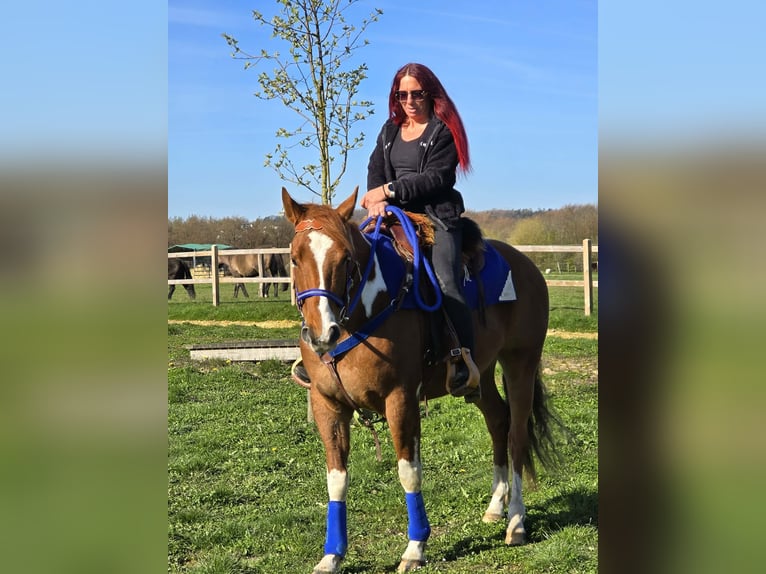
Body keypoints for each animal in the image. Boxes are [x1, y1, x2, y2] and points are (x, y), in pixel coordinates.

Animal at [281, 187, 559, 573]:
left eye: (346, 258)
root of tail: (526, 265)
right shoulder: (328, 405)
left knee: (517, 435)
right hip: (481, 375)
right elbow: (336, 480)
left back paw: (516, 521)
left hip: (521, 363)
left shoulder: (401, 400)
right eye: (294, 259)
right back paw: (496, 506)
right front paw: (331, 555)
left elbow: (408, 472)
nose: (322, 334)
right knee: (498, 422)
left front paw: (415, 547)